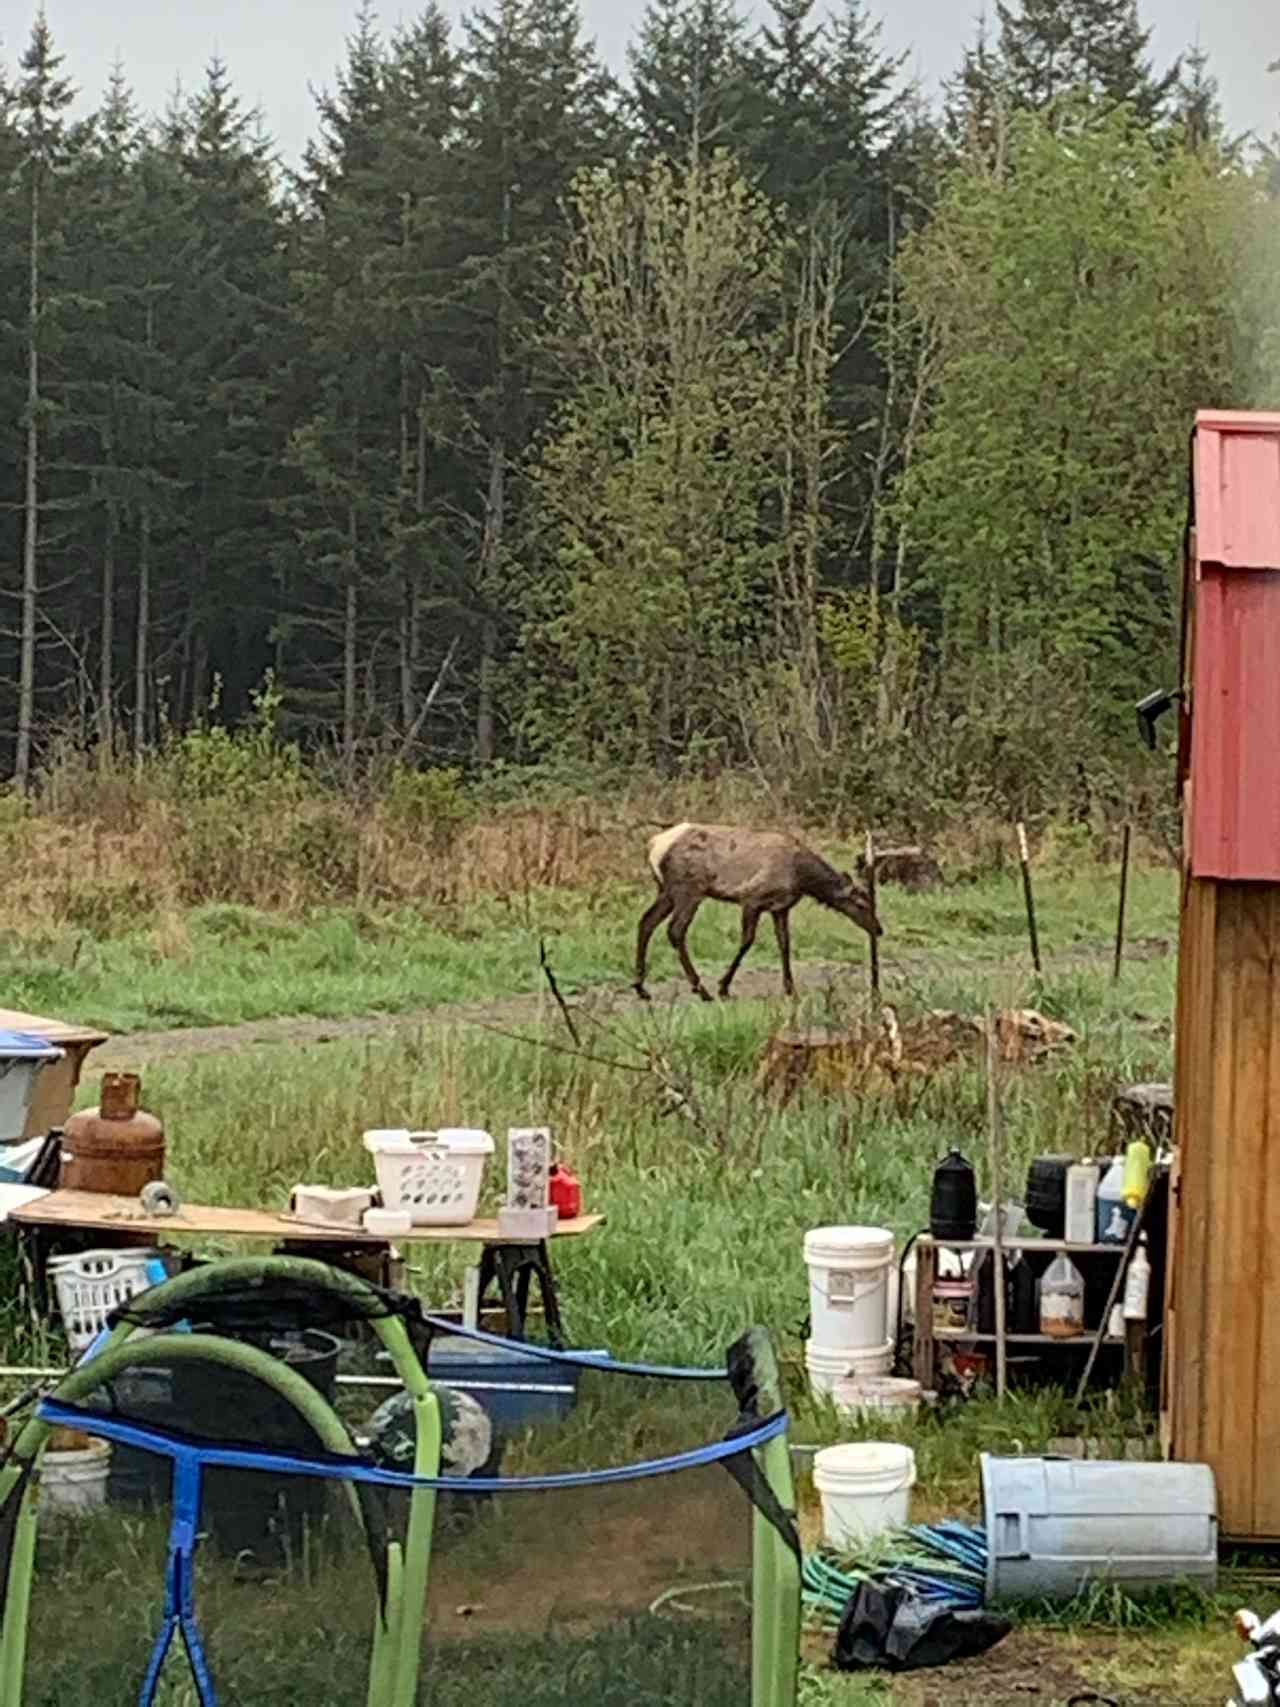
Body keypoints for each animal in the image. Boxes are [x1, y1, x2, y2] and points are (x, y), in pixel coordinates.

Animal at [638, 815, 887, 996]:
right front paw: (723, 986)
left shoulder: (781, 908)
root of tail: (653, 845)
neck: (801, 877)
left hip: (666, 890)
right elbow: (747, 941)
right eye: (861, 904)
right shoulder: (752, 900)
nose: (878, 929)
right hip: (689, 889)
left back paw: (641, 987)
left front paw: (790, 988)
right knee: (675, 930)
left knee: (646, 921)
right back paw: (701, 989)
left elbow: (785, 944)